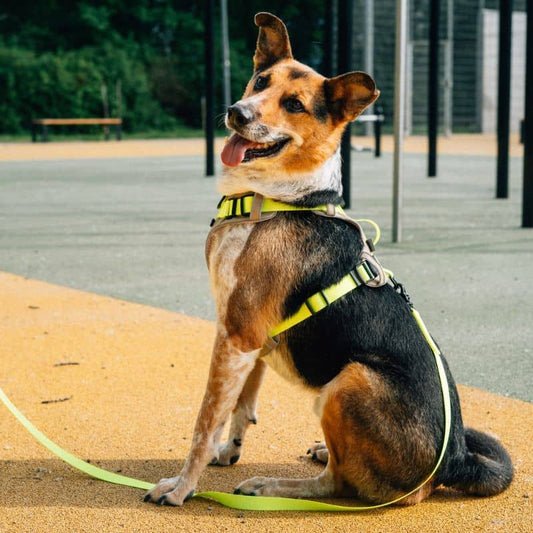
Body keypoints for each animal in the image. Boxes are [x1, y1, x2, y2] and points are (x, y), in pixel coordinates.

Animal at [144, 10, 512, 504]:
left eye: (294, 104)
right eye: (260, 81)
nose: (237, 113)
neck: (277, 200)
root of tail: (456, 460)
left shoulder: (236, 335)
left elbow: (205, 421)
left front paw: (183, 486)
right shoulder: (252, 341)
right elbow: (239, 406)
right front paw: (229, 450)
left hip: (349, 380)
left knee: (337, 482)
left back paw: (273, 485)